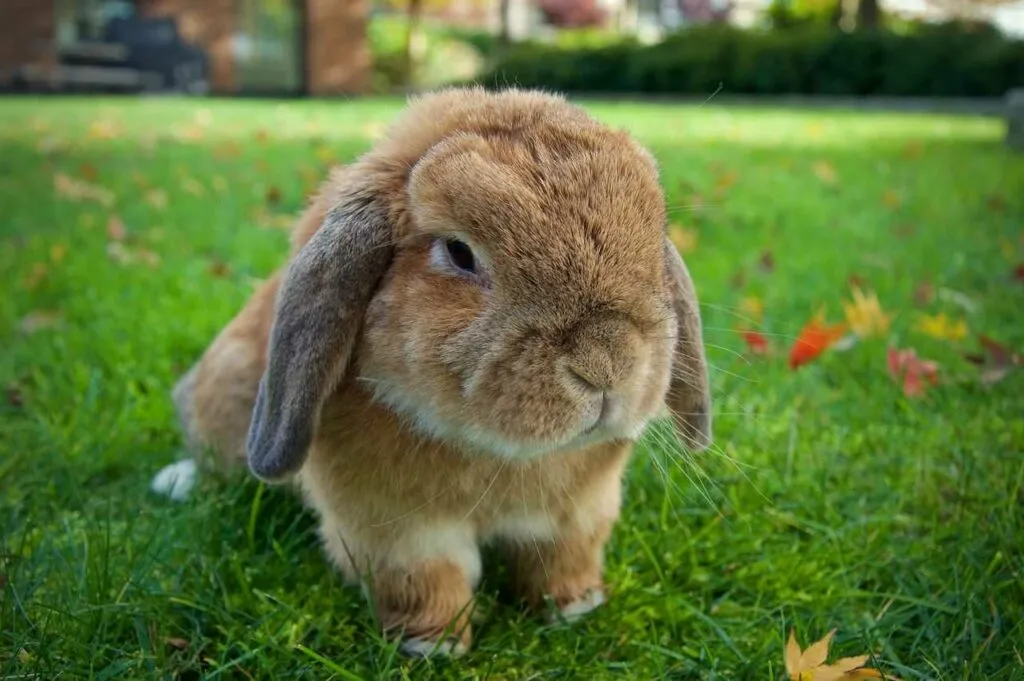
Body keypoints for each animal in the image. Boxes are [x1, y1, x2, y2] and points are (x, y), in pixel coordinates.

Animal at [153, 84, 712, 655]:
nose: (607, 365)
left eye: (653, 239)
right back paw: (176, 481)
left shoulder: (578, 514)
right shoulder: (396, 530)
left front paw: (575, 607)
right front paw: (434, 644)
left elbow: (563, 558)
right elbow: (428, 578)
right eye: (459, 252)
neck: (500, 455)